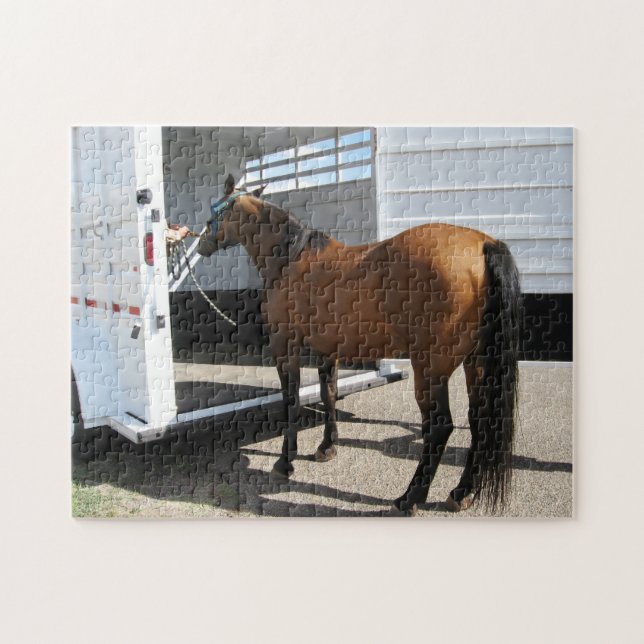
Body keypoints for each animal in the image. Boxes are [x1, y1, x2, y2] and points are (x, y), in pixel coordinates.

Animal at [197, 175, 522, 516]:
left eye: (217, 208)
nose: (202, 242)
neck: (291, 259)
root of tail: (483, 244)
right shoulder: (327, 350)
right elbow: (328, 395)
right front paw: (327, 447)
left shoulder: (285, 346)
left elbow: (290, 401)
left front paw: (285, 462)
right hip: (477, 363)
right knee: (479, 422)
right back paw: (461, 493)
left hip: (430, 368)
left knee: (439, 427)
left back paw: (410, 498)